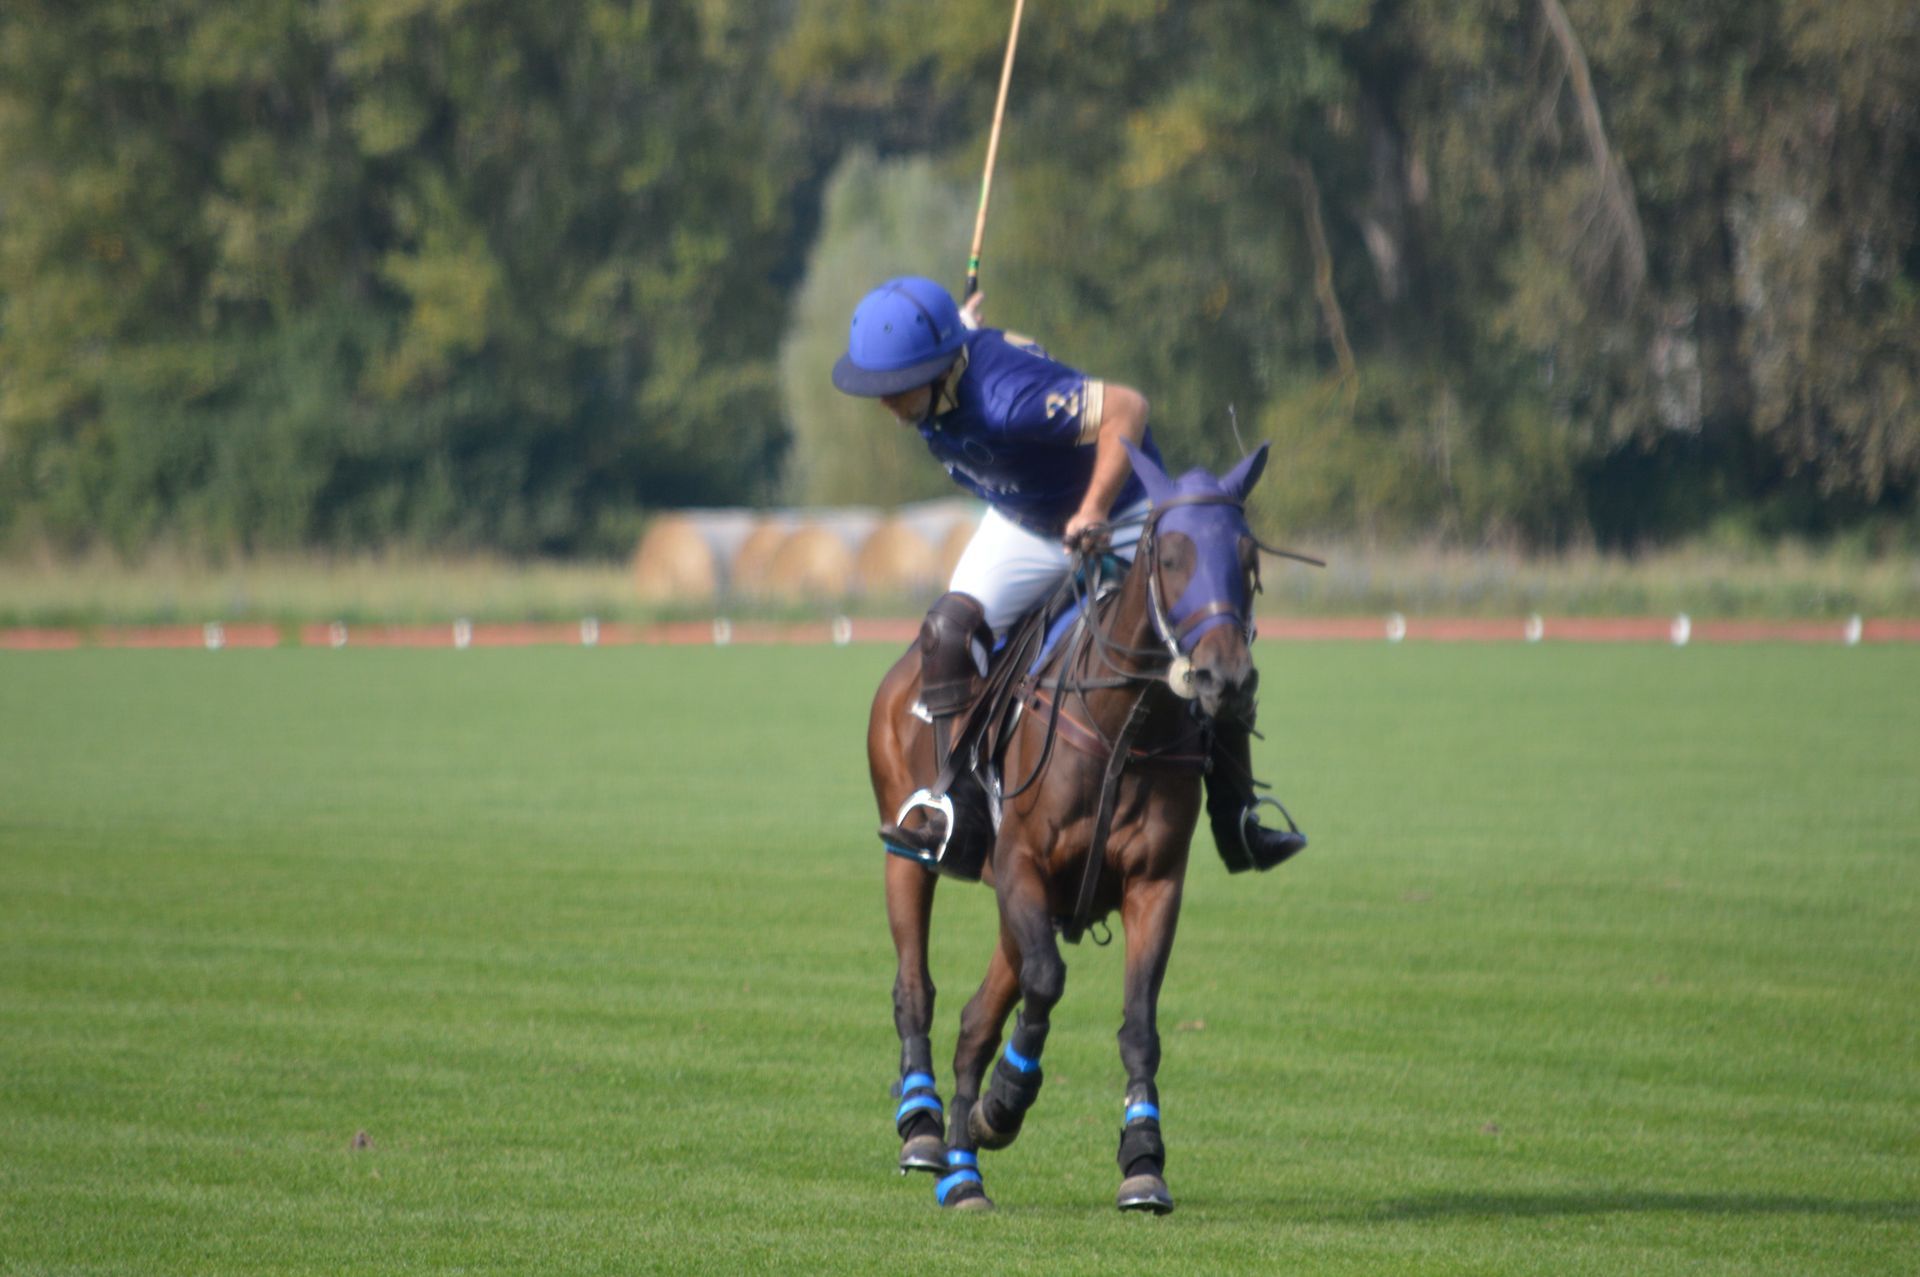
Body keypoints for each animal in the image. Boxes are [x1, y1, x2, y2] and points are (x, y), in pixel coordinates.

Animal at [865, 439, 1276, 1213]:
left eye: (1248, 555)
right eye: (1169, 555)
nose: (1226, 679)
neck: (1126, 722)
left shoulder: (1154, 883)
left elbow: (1139, 1022)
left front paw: (1143, 1160)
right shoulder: (1022, 866)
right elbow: (1049, 979)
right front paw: (1005, 1102)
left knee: (974, 1021)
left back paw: (964, 1172)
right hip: (909, 852)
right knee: (915, 988)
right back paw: (925, 1130)